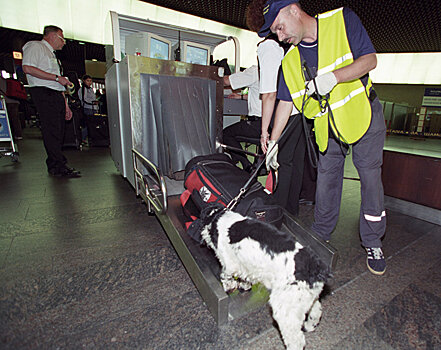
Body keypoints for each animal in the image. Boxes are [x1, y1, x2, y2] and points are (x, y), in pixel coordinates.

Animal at [198, 205, 328, 350]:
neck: (219, 219)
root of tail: (316, 268)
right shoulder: (246, 265)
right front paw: (245, 285)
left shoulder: (230, 264)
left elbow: (226, 276)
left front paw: (230, 287)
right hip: (306, 298)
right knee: (316, 310)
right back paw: (310, 326)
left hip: (285, 308)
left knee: (296, 339)